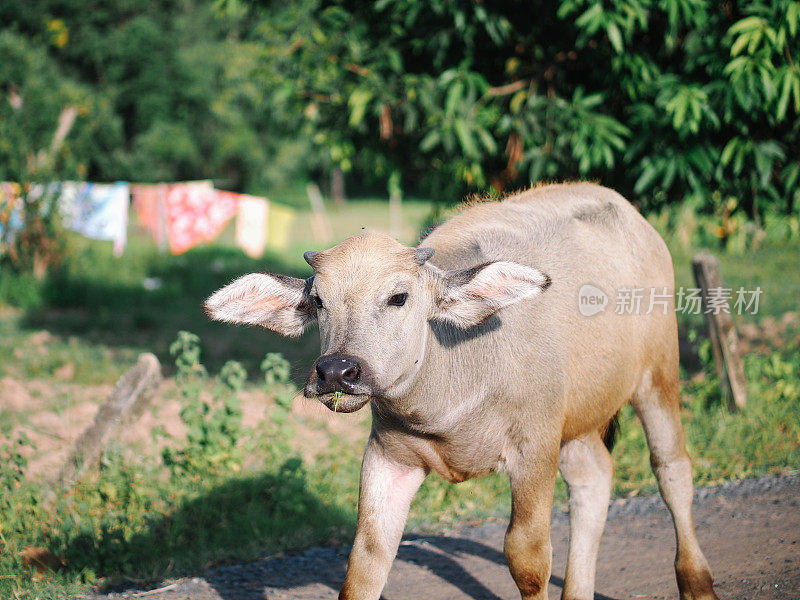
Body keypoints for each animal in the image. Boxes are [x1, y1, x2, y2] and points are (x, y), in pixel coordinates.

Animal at [206, 183, 720, 600]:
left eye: (398, 297)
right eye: (317, 301)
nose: (336, 371)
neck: (448, 399)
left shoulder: (534, 449)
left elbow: (527, 556)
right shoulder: (388, 457)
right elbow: (365, 563)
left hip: (658, 374)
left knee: (672, 470)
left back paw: (697, 581)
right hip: (577, 417)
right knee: (594, 477)